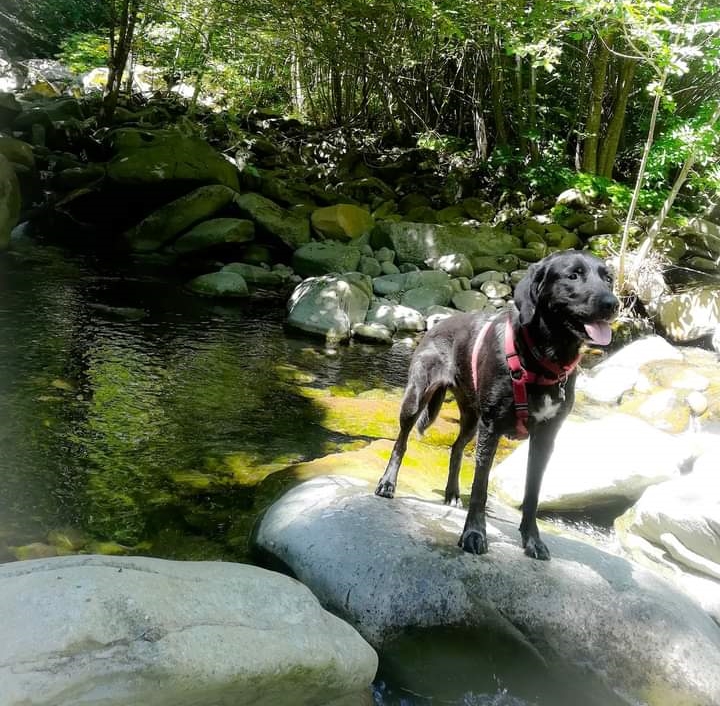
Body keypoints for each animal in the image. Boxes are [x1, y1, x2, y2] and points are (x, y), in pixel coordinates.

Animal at [376, 250, 620, 560]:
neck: (542, 360)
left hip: (471, 417)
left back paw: (452, 494)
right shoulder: (491, 429)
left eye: (608, 278)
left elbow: (532, 493)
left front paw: (532, 540)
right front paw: (474, 535)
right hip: (417, 397)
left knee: (456, 448)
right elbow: (480, 488)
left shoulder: (544, 439)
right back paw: (388, 483)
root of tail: (439, 323)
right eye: (573, 275)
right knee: (401, 442)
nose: (613, 304)